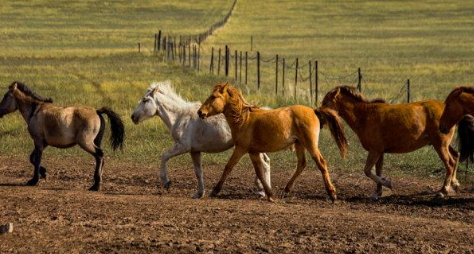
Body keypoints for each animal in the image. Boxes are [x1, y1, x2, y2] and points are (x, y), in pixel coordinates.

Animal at [131, 81, 270, 198]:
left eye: (145, 100)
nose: (133, 117)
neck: (179, 117)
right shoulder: (194, 151)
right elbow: (198, 172)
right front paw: (199, 193)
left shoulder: (182, 147)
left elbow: (164, 156)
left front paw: (166, 182)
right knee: (266, 162)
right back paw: (264, 190)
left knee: (263, 163)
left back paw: (262, 191)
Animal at [322, 86, 460, 199]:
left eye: (325, 102)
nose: (320, 117)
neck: (365, 115)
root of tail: (445, 108)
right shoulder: (380, 152)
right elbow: (378, 171)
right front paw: (377, 192)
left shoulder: (375, 151)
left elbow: (368, 171)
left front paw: (387, 183)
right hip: (443, 145)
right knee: (456, 156)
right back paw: (455, 184)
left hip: (440, 145)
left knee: (450, 163)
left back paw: (443, 190)